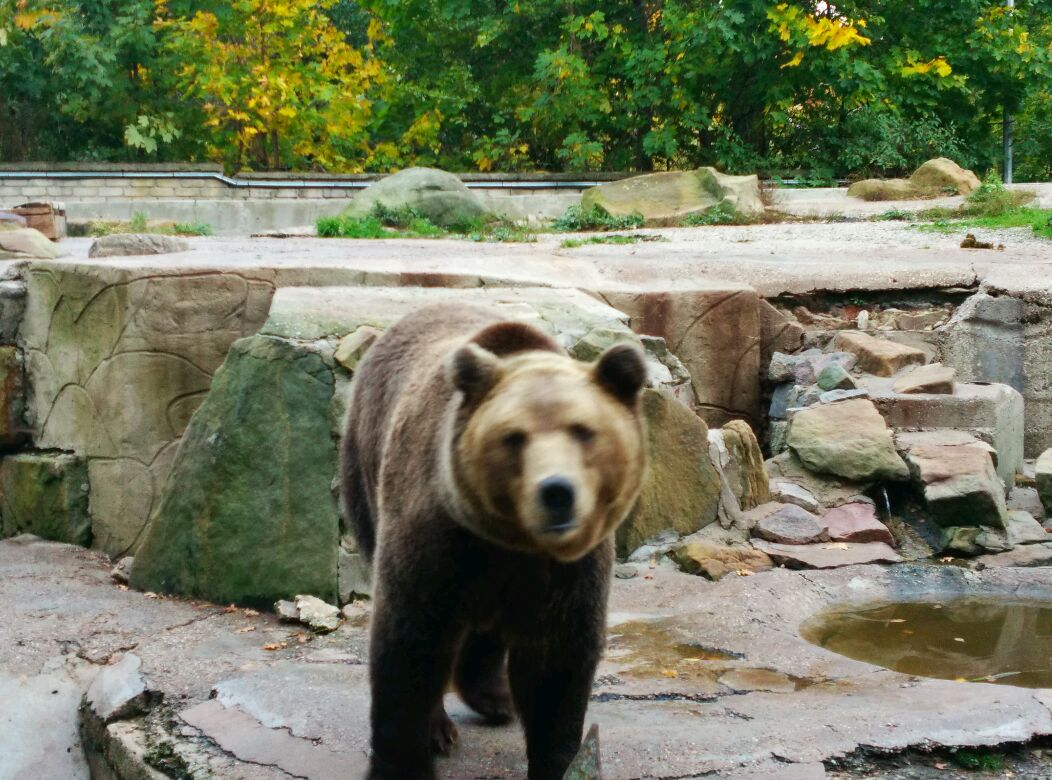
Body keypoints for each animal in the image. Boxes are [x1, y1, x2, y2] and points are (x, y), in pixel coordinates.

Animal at [340, 303, 643, 778]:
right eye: (514, 437)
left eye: (583, 431)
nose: (556, 492)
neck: (511, 540)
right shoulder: (434, 537)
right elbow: (410, 644)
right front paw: (407, 758)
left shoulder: (566, 571)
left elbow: (556, 664)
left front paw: (560, 758)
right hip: (365, 465)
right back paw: (446, 726)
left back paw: (495, 697)